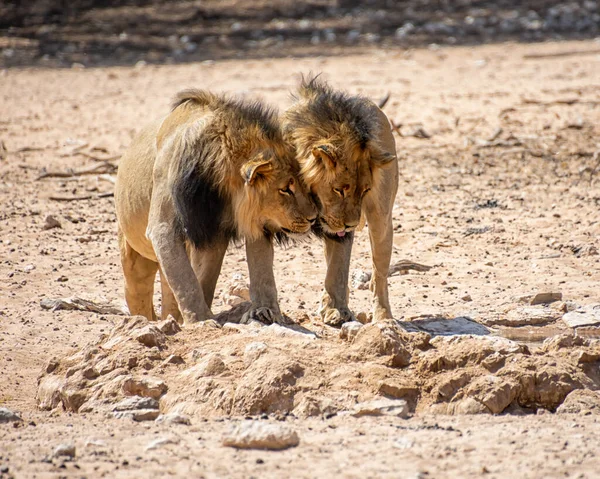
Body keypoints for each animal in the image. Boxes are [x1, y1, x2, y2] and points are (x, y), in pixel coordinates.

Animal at [114, 89, 316, 326]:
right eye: (285, 189)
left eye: (304, 184)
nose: (313, 218)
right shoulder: (164, 228)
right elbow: (187, 282)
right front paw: (200, 320)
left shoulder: (231, 228)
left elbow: (253, 269)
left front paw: (266, 311)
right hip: (134, 258)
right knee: (138, 292)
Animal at [284, 77, 400, 328]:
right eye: (339, 190)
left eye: (365, 190)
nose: (350, 225)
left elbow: (338, 268)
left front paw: (336, 310)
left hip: (381, 218)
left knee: (379, 275)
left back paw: (383, 318)